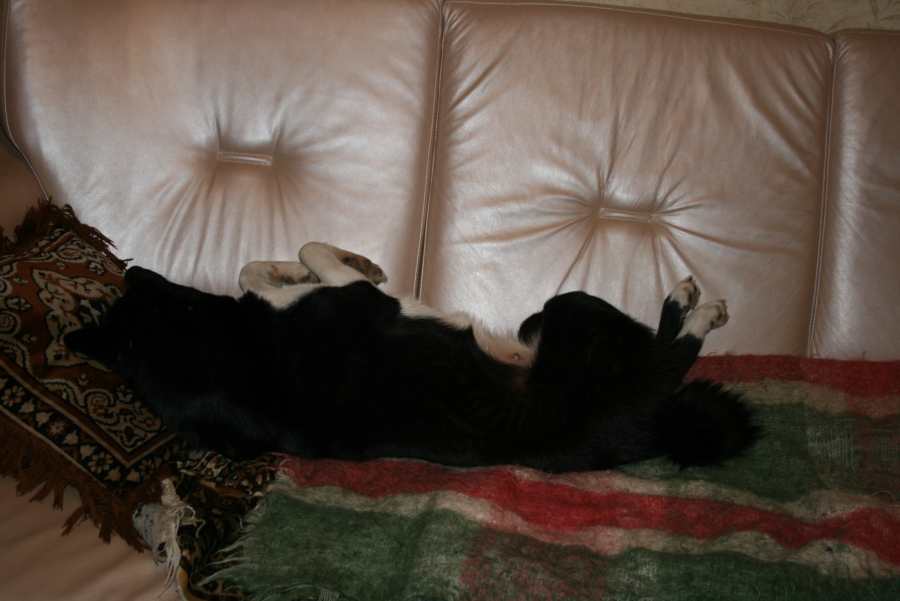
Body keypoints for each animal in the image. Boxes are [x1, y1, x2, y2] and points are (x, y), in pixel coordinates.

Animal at [64, 242, 758, 472]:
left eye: (157, 295)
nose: (136, 268)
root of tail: (658, 429)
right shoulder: (355, 302)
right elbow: (308, 256)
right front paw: (332, 262)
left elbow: (260, 267)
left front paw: (298, 266)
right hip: (575, 313)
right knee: (670, 351)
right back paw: (692, 305)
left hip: (547, 318)